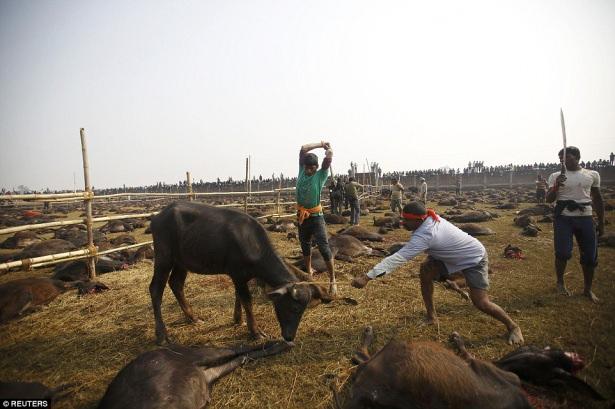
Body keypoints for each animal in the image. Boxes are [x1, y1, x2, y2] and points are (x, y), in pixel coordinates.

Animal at [99, 340, 294, 406]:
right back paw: (282, 344)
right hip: (205, 376)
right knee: (238, 359)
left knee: (234, 349)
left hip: (196, 353)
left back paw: (281, 342)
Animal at [150, 201, 332, 344]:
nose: (289, 337)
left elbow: (238, 296)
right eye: (294, 308)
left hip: (181, 261)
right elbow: (247, 301)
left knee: (176, 284)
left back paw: (193, 318)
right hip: (163, 258)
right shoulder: (237, 275)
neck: (251, 243)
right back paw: (162, 335)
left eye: (303, 310)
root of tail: (159, 216)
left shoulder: (241, 278)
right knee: (156, 289)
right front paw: (255, 332)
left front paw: (238, 319)